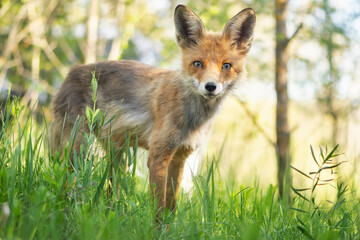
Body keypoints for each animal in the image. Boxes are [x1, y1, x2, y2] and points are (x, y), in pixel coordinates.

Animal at [52, 4, 256, 212]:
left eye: (226, 66)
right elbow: (158, 207)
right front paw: (157, 222)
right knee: (66, 184)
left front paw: (171, 221)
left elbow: (171, 206)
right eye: (197, 64)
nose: (210, 86)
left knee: (110, 193)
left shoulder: (180, 157)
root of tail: (71, 72)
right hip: (78, 149)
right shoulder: (158, 156)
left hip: (118, 156)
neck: (193, 117)